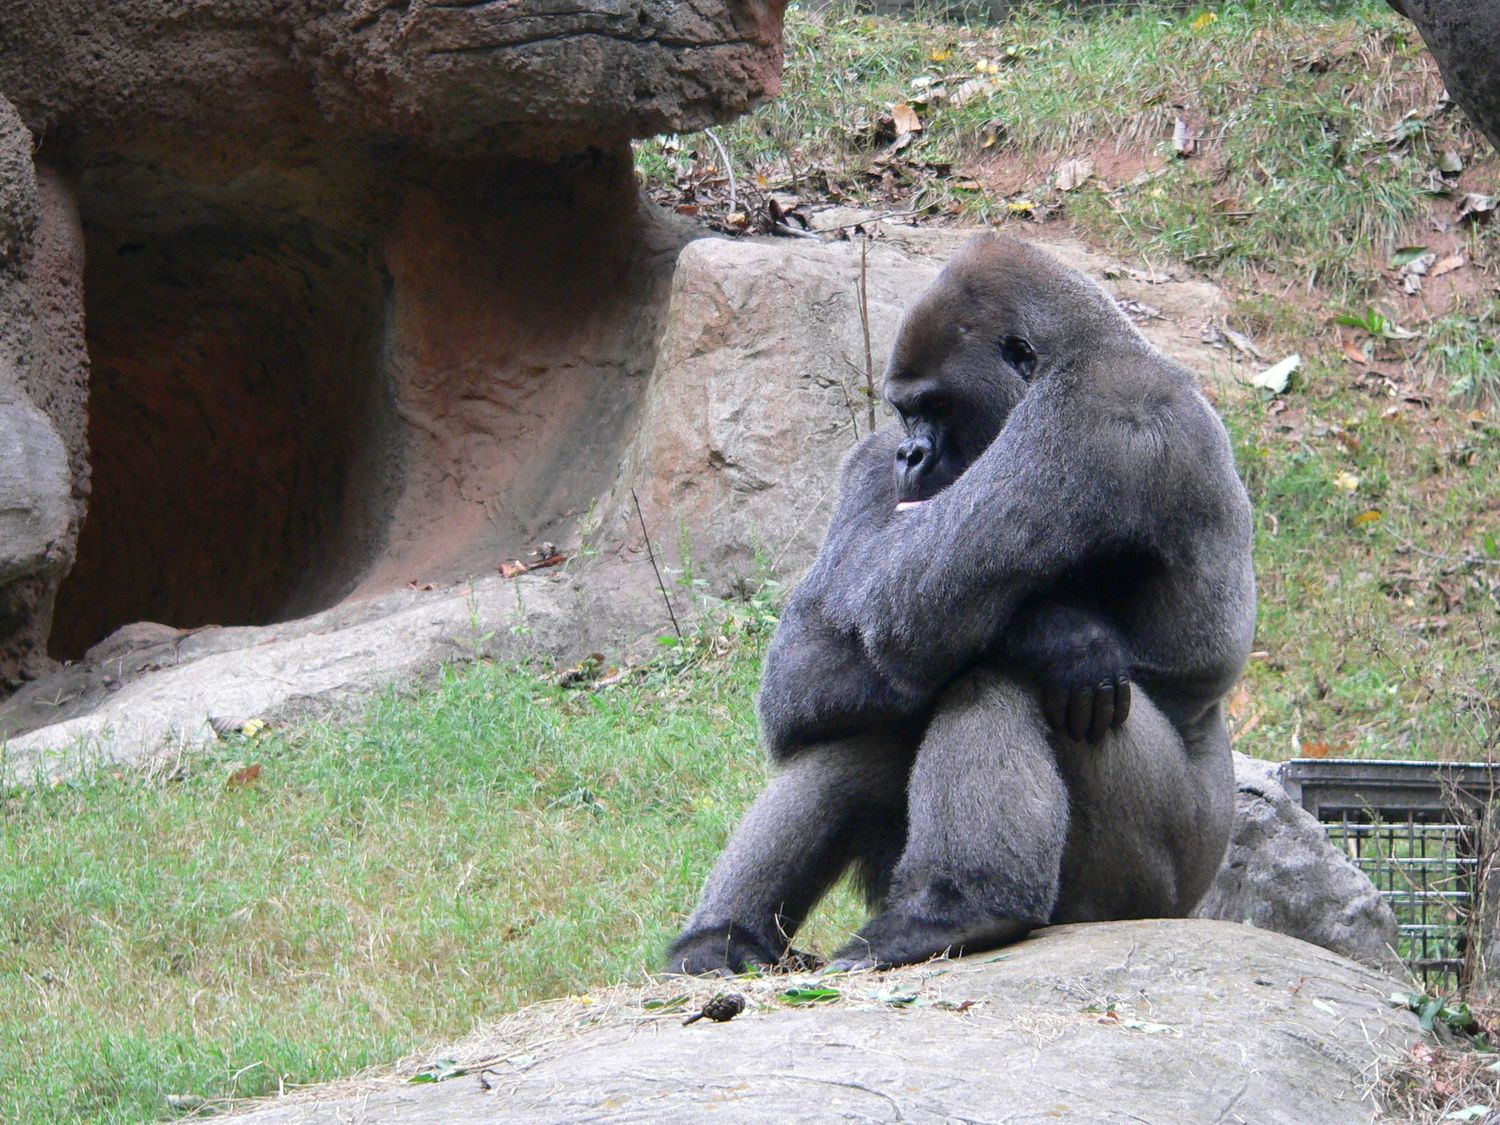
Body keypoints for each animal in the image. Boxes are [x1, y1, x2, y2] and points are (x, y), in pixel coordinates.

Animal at [667, 234, 1255, 974]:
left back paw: (960, 909)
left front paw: (1054, 630)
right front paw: (1055, 625)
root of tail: (1198, 892)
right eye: (903, 411)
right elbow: (803, 666)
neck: (1091, 343)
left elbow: (904, 619)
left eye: (938, 406)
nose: (912, 455)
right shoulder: (870, 461)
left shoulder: (1089, 411)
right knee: (871, 712)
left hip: (1151, 884)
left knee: (999, 672)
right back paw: (720, 940)